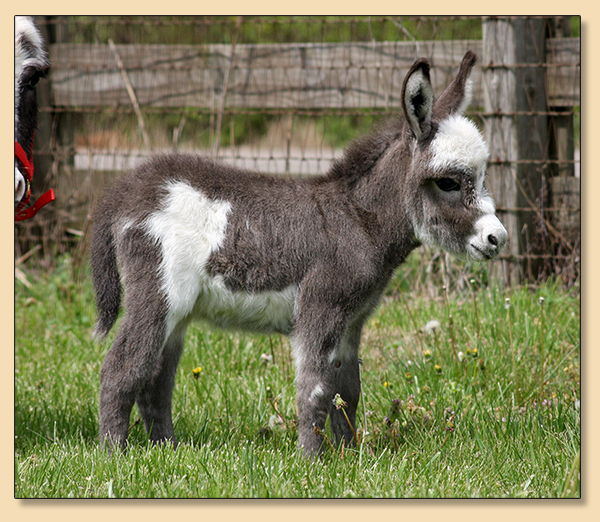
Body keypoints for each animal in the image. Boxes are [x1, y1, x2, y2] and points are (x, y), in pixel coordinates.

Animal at [91, 49, 508, 456]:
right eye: (448, 182)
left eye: (482, 178)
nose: (497, 238)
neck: (358, 220)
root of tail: (127, 190)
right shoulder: (320, 308)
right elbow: (315, 390)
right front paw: (311, 461)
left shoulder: (352, 321)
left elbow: (348, 392)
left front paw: (348, 457)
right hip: (160, 294)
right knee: (121, 369)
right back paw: (114, 456)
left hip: (177, 313)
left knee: (155, 382)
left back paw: (169, 451)